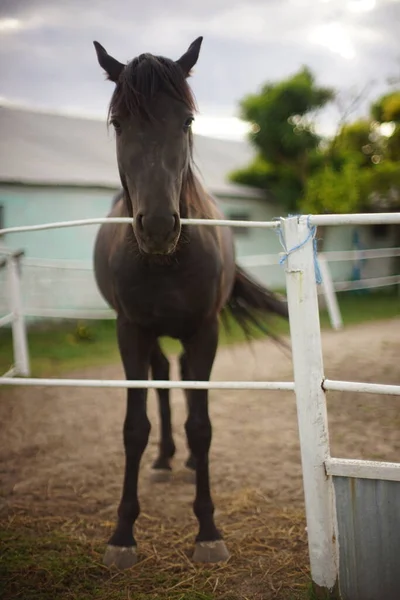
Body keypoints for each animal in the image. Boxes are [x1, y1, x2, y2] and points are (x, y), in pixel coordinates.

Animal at [93, 38, 288, 572]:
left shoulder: (205, 331)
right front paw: (123, 534)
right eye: (119, 122)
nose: (159, 226)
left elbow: (201, 427)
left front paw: (208, 531)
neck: (167, 261)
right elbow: (133, 427)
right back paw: (163, 459)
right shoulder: (129, 331)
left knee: (176, 379)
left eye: (186, 121)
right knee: (161, 379)